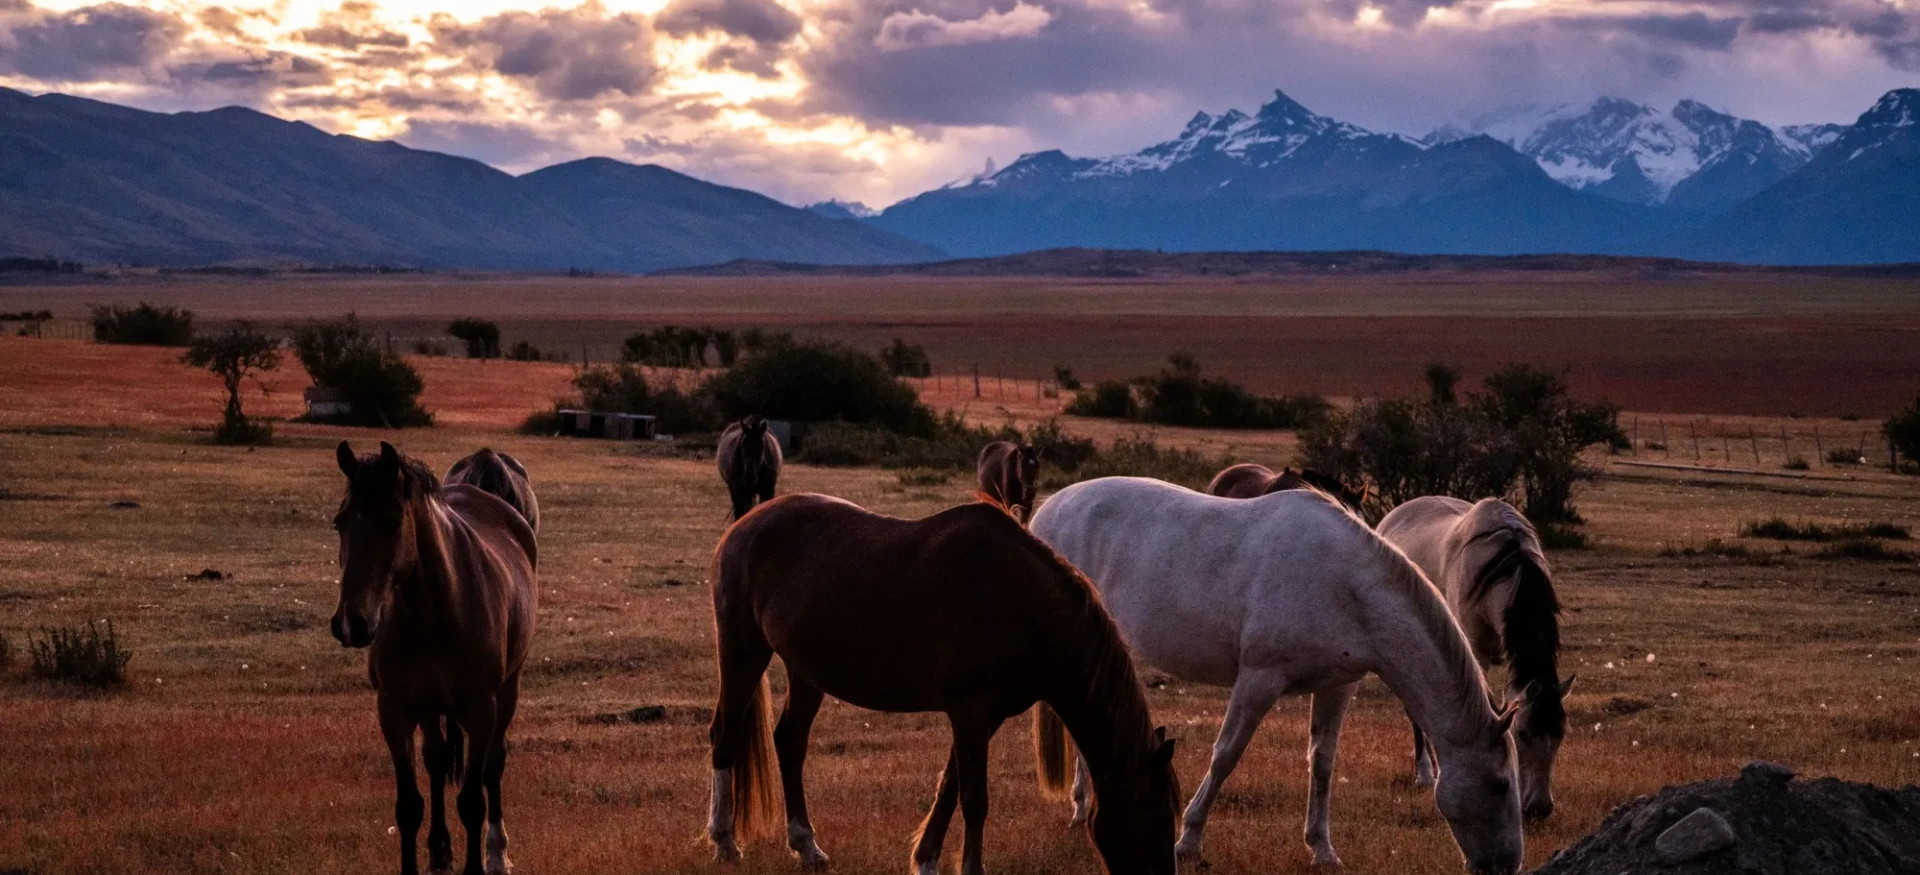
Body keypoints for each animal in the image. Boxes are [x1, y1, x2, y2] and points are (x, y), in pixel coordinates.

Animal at [330, 441, 538, 875]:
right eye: (340, 523)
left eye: (392, 523)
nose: (351, 624)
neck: (434, 609)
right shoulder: (394, 711)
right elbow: (410, 805)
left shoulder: (480, 709)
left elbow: (473, 801)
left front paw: (481, 862)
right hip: (429, 706)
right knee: (438, 760)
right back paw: (440, 849)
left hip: (506, 692)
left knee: (493, 765)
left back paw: (497, 852)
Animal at [704, 493, 1180, 875]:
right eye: (1157, 815)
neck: (1020, 602)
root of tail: (745, 525)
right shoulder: (969, 712)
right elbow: (974, 798)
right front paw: (970, 868)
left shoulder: (985, 718)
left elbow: (950, 786)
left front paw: (927, 859)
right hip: (743, 649)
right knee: (725, 736)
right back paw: (724, 842)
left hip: (807, 673)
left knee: (790, 743)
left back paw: (807, 846)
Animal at [1030, 477, 1523, 874]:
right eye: (1500, 785)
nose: (1507, 864)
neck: (1347, 586)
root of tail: (1049, 508)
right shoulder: (1259, 680)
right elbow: (1225, 756)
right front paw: (1187, 842)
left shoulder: (1337, 686)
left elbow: (1323, 762)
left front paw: (1321, 849)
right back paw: (1082, 808)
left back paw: (1083, 806)